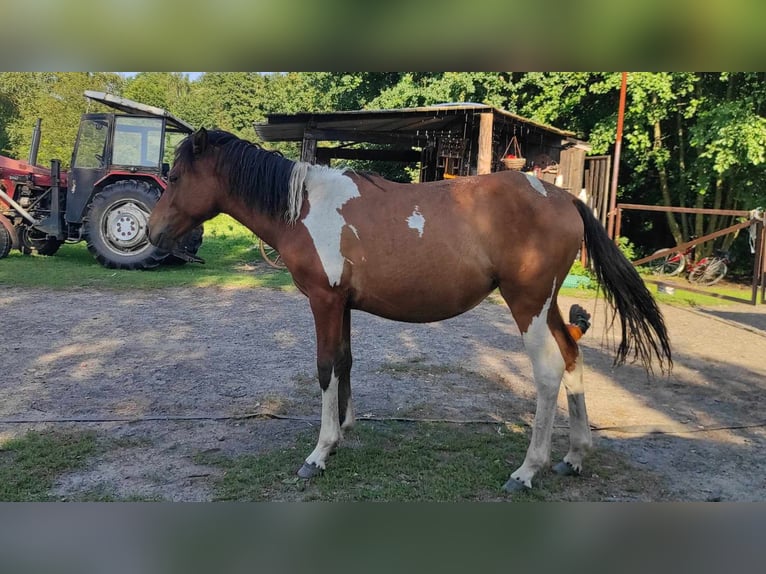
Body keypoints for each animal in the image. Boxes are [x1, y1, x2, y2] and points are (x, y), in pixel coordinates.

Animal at [146, 128, 672, 492]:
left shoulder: (324, 300)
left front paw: (319, 452)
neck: (307, 208)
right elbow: (345, 362)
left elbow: (324, 368)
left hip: (527, 304)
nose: (151, 231)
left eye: (176, 177)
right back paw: (575, 455)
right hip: (548, 306)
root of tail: (562, 196)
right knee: (572, 357)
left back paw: (527, 470)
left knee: (547, 371)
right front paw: (344, 430)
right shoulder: (343, 305)